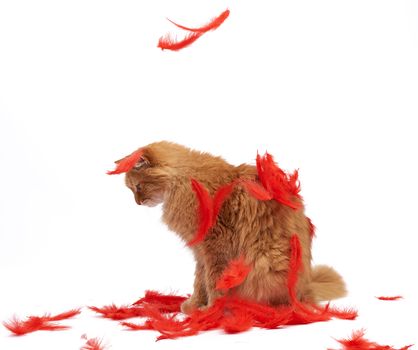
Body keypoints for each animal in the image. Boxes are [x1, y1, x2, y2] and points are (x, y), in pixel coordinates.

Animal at [116, 141, 344, 314]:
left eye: (138, 187)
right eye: (132, 190)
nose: (138, 203)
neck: (185, 181)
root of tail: (305, 289)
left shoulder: (216, 246)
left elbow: (213, 282)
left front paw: (211, 311)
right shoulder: (200, 251)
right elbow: (199, 281)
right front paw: (194, 306)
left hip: (267, 262)